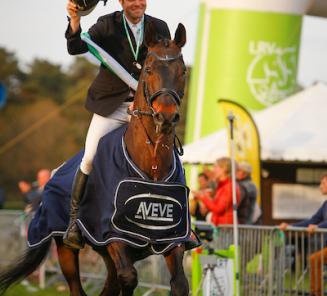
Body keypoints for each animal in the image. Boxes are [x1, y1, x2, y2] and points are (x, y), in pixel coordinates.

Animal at [0, 22, 197, 294]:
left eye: (183, 71)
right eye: (148, 69)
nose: (165, 117)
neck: (153, 162)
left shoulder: (172, 239)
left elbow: (179, 284)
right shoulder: (113, 236)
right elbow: (129, 278)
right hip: (66, 248)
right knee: (77, 286)